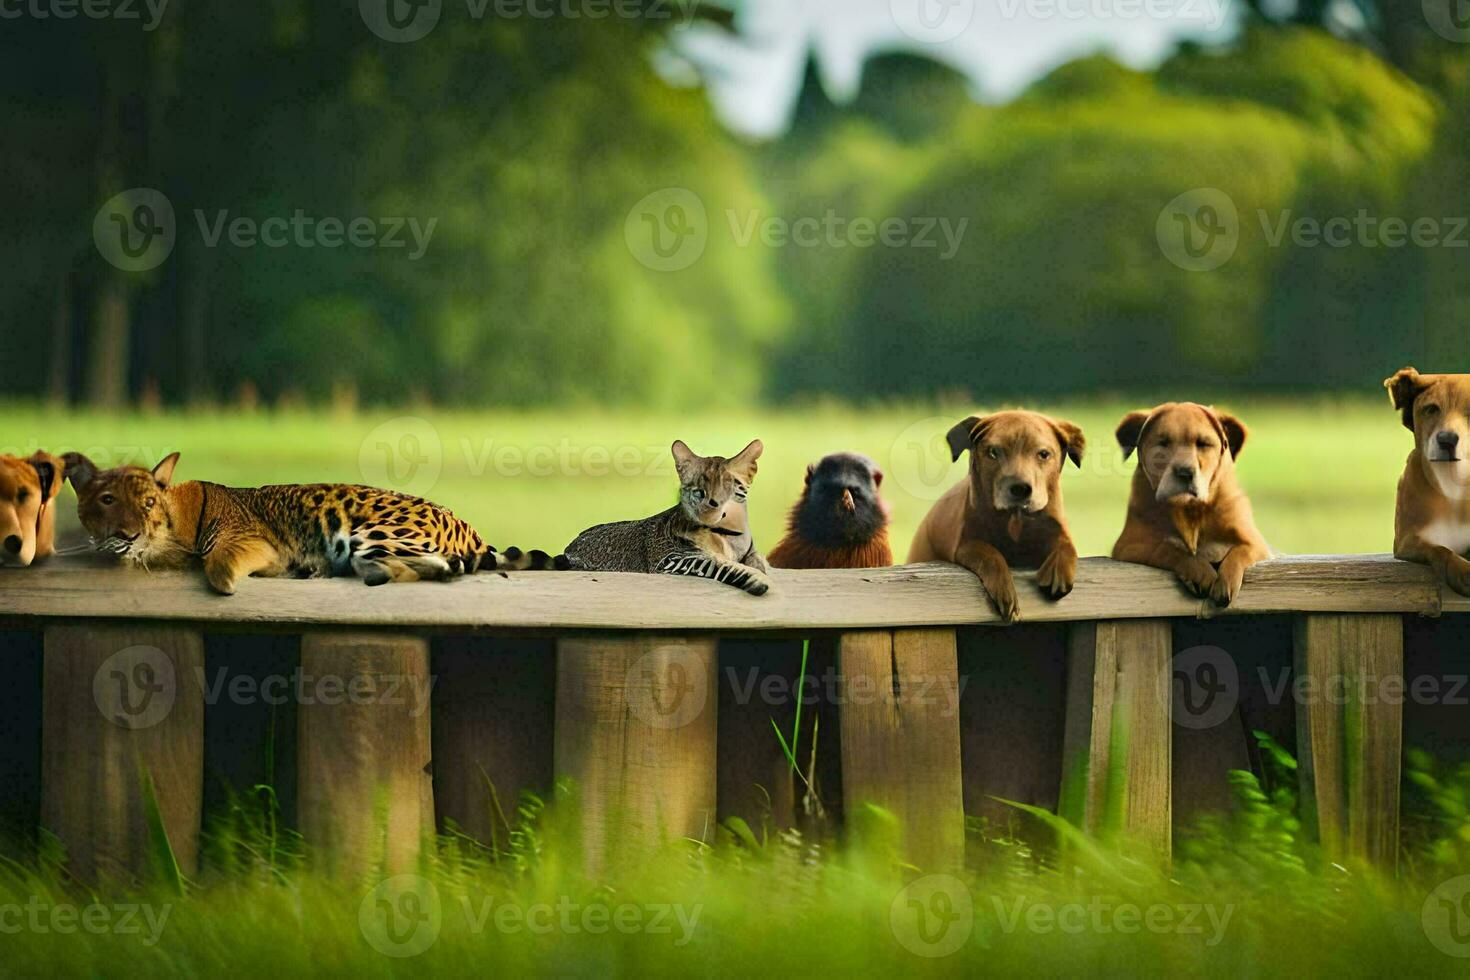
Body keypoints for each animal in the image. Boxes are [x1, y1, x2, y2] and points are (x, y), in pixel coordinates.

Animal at [63, 449, 558, 593]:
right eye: (106, 500)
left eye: (147, 503)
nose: (129, 533)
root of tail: (466, 525)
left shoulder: (249, 542)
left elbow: (217, 562)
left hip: (372, 531)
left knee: (435, 566)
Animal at [561, 437, 776, 593]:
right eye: (698, 491)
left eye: (727, 484)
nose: (711, 505)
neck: (727, 536)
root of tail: (570, 545)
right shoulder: (671, 559)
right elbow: (718, 565)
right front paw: (754, 580)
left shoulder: (750, 552)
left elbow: (757, 561)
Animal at [905, 411, 1081, 625]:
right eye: (993, 453)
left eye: (1044, 454)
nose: (1020, 488)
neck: (1015, 520)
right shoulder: (965, 544)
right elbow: (989, 553)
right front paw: (1006, 593)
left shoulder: (1054, 528)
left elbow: (1067, 545)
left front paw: (1058, 572)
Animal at [1111, 399, 1264, 605]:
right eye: (1163, 443)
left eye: (1203, 444)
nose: (1185, 473)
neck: (1189, 509)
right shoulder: (1130, 544)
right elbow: (1169, 548)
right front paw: (1200, 572)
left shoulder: (1256, 543)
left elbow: (1241, 551)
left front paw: (1226, 583)